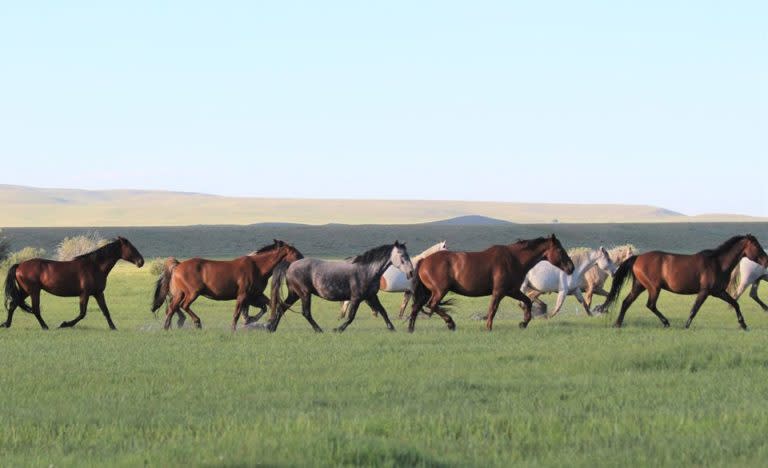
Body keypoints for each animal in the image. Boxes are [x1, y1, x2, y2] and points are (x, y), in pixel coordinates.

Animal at [2, 238, 144, 330]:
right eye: (131, 248)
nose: (141, 262)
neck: (95, 266)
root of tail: (19, 265)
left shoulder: (98, 293)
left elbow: (105, 311)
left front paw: (113, 327)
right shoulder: (85, 294)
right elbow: (82, 313)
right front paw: (64, 324)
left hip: (25, 291)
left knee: (13, 304)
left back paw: (6, 324)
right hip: (33, 291)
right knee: (35, 309)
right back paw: (45, 326)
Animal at [150, 239, 304, 330]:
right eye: (295, 252)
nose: (303, 260)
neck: (258, 267)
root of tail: (177, 266)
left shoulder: (255, 295)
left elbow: (268, 305)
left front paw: (253, 320)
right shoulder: (243, 295)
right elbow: (237, 313)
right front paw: (235, 329)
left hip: (179, 294)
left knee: (171, 309)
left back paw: (167, 328)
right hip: (192, 293)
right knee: (183, 306)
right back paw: (197, 322)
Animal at [268, 241, 414, 332]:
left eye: (407, 254)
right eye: (402, 255)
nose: (411, 272)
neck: (367, 270)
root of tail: (291, 265)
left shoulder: (371, 296)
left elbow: (383, 311)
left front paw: (392, 328)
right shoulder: (356, 298)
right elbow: (351, 316)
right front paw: (338, 329)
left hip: (294, 294)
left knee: (281, 308)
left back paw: (272, 328)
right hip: (304, 294)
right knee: (306, 312)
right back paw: (318, 330)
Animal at [412, 234, 572, 332]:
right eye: (559, 249)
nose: (571, 267)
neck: (514, 259)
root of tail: (424, 261)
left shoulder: (512, 291)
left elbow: (527, 302)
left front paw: (523, 323)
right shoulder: (499, 292)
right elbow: (492, 309)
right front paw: (488, 328)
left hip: (429, 292)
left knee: (416, 307)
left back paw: (411, 329)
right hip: (439, 291)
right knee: (432, 305)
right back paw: (450, 323)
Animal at [600, 234, 768, 330]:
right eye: (756, 246)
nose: (766, 260)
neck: (718, 263)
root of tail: (638, 258)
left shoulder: (718, 291)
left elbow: (735, 303)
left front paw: (743, 324)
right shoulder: (705, 291)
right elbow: (695, 309)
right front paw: (686, 326)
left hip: (639, 286)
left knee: (626, 302)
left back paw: (618, 324)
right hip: (653, 287)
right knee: (650, 305)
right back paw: (666, 322)